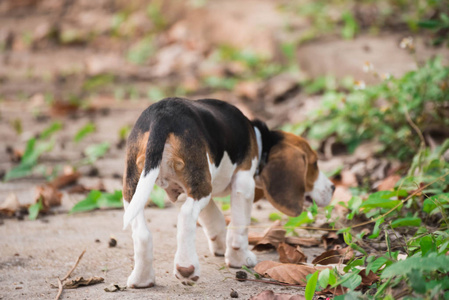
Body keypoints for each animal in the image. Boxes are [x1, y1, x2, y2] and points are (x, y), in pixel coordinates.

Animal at [121, 97, 332, 288]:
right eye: (314, 164)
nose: (333, 187)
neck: (258, 139)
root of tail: (162, 115)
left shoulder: (181, 190)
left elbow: (215, 219)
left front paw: (221, 246)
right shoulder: (244, 183)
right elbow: (239, 226)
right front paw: (239, 258)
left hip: (137, 187)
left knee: (142, 232)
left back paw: (142, 279)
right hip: (199, 183)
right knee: (186, 216)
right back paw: (186, 268)